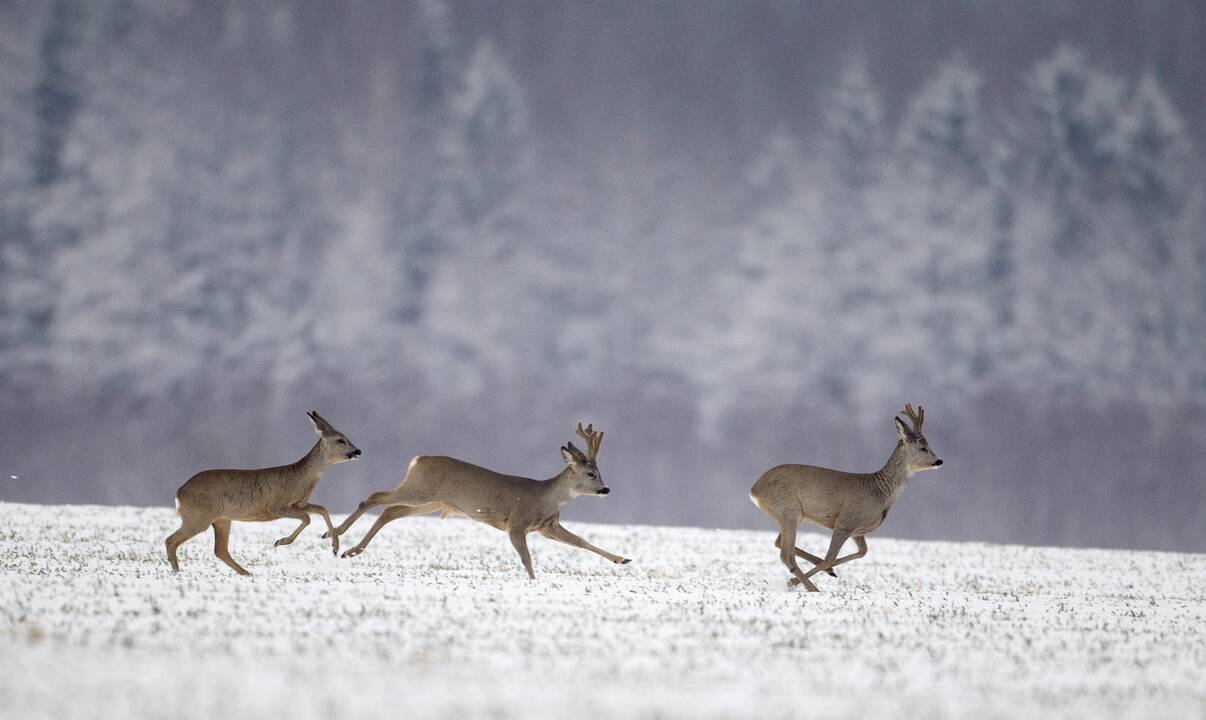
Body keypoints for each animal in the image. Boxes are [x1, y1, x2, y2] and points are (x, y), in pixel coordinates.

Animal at [166, 410, 361, 571]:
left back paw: (247, 574)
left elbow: (322, 509)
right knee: (171, 540)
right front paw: (281, 542)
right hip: (199, 517)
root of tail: (179, 493)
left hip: (221, 519)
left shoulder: (299, 503)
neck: (299, 478)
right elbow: (307, 518)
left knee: (220, 549)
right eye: (341, 440)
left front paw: (335, 546)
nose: (358, 451)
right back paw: (177, 571)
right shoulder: (276, 506)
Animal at [328, 422, 631, 578]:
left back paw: (351, 550)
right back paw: (335, 538)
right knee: (373, 497)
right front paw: (533, 582)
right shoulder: (516, 524)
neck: (544, 497)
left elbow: (581, 542)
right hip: (418, 490)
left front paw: (622, 559)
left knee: (389, 511)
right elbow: (526, 558)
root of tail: (419, 459)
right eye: (591, 473)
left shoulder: (548, 526)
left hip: (430, 501)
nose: (606, 489)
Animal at [752, 405, 940, 588]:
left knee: (779, 544)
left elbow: (862, 552)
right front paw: (794, 581)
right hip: (788, 510)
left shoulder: (857, 530)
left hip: (790, 516)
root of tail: (754, 490)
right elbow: (830, 557)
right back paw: (810, 587)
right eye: (923, 448)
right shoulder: (845, 521)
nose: (939, 461)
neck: (880, 493)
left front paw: (828, 571)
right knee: (786, 554)